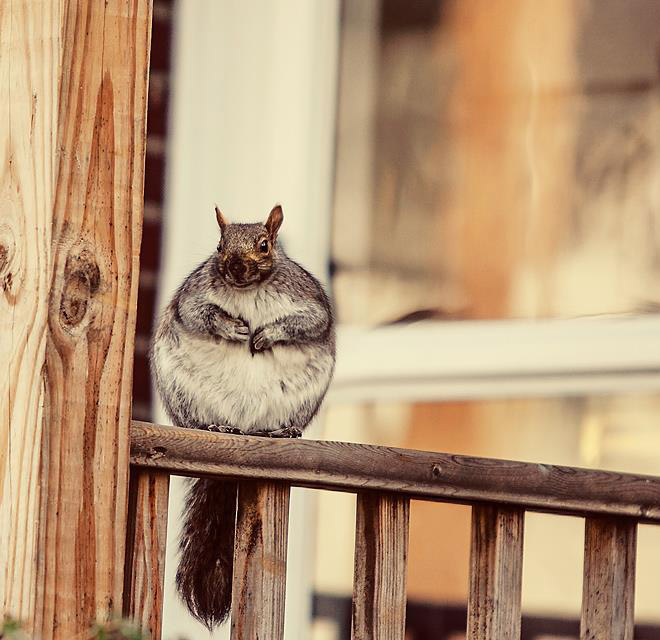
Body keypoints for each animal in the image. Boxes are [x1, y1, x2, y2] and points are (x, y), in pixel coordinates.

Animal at [150, 205, 336, 632]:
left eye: (264, 245)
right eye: (219, 245)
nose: (234, 267)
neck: (249, 291)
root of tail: (244, 427)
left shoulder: (308, 299)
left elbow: (309, 322)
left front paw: (266, 334)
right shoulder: (194, 295)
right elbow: (197, 313)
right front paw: (231, 327)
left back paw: (281, 431)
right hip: (183, 392)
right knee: (201, 420)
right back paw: (214, 425)